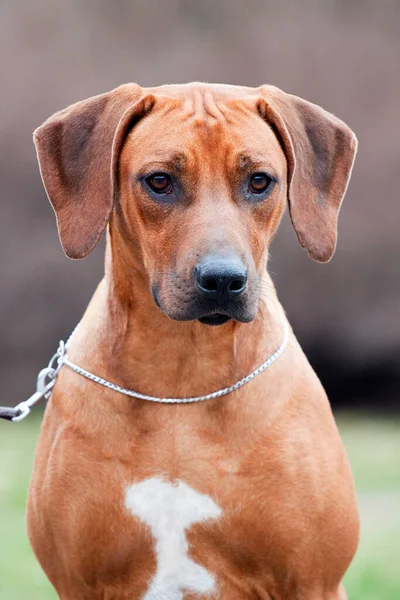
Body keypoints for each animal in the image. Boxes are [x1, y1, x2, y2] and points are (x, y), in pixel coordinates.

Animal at [28, 83, 360, 600]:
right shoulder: (78, 583)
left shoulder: (314, 582)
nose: (223, 280)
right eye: (159, 181)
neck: (181, 379)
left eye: (260, 181)